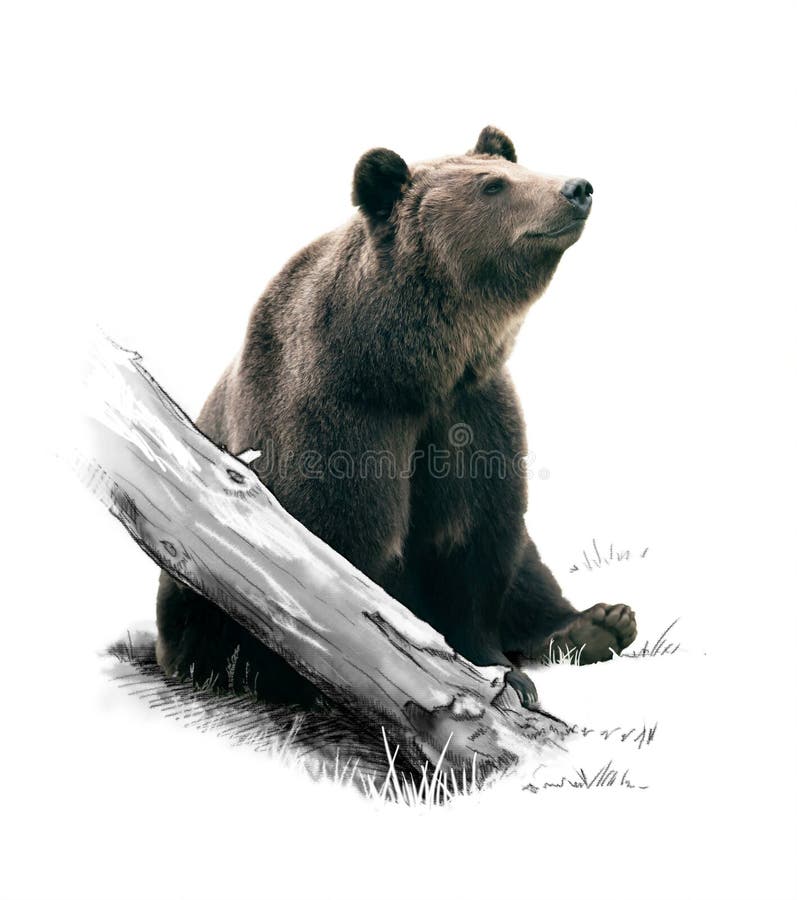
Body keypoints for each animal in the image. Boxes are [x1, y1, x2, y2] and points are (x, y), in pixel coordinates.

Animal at [155, 125, 637, 709]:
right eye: (492, 185)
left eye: (518, 169)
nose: (577, 187)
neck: (408, 368)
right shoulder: (341, 417)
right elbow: (345, 549)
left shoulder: (473, 415)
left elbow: (479, 544)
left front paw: (506, 671)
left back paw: (600, 623)